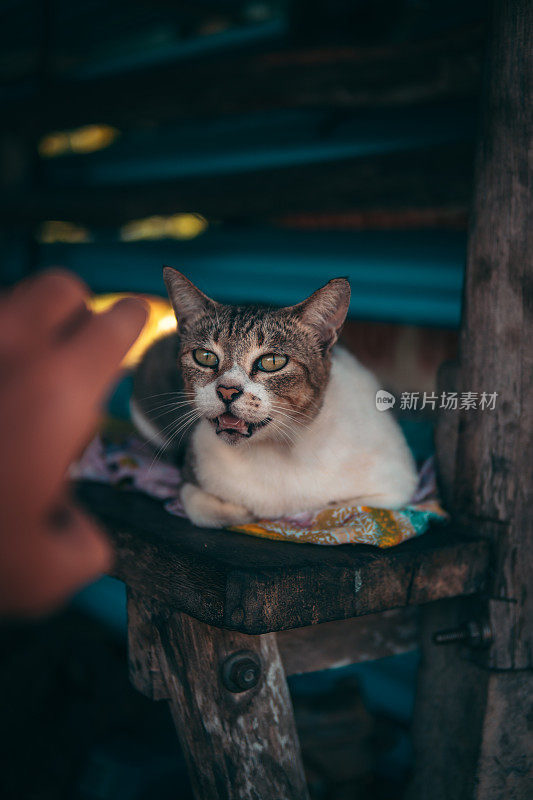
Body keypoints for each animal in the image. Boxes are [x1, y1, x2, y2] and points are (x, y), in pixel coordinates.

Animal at [131, 270, 418, 532]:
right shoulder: (191, 476)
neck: (272, 453)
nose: (227, 390)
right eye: (205, 356)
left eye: (272, 362)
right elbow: (201, 506)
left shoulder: (396, 487)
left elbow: (337, 508)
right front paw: (243, 512)